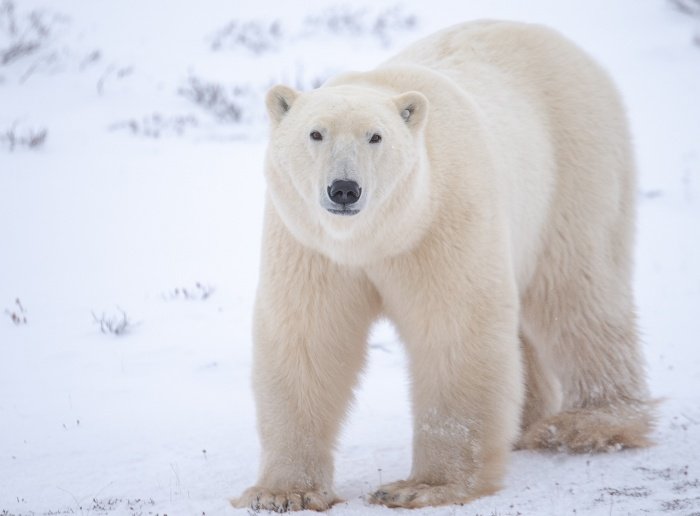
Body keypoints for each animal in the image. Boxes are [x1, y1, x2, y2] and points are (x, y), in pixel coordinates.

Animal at [232, 20, 654, 511]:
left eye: (375, 136)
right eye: (315, 134)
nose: (344, 189)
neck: (375, 239)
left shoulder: (442, 221)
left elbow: (456, 332)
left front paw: (421, 487)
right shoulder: (310, 247)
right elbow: (307, 340)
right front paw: (283, 492)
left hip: (577, 164)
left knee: (579, 292)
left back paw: (591, 424)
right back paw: (526, 421)